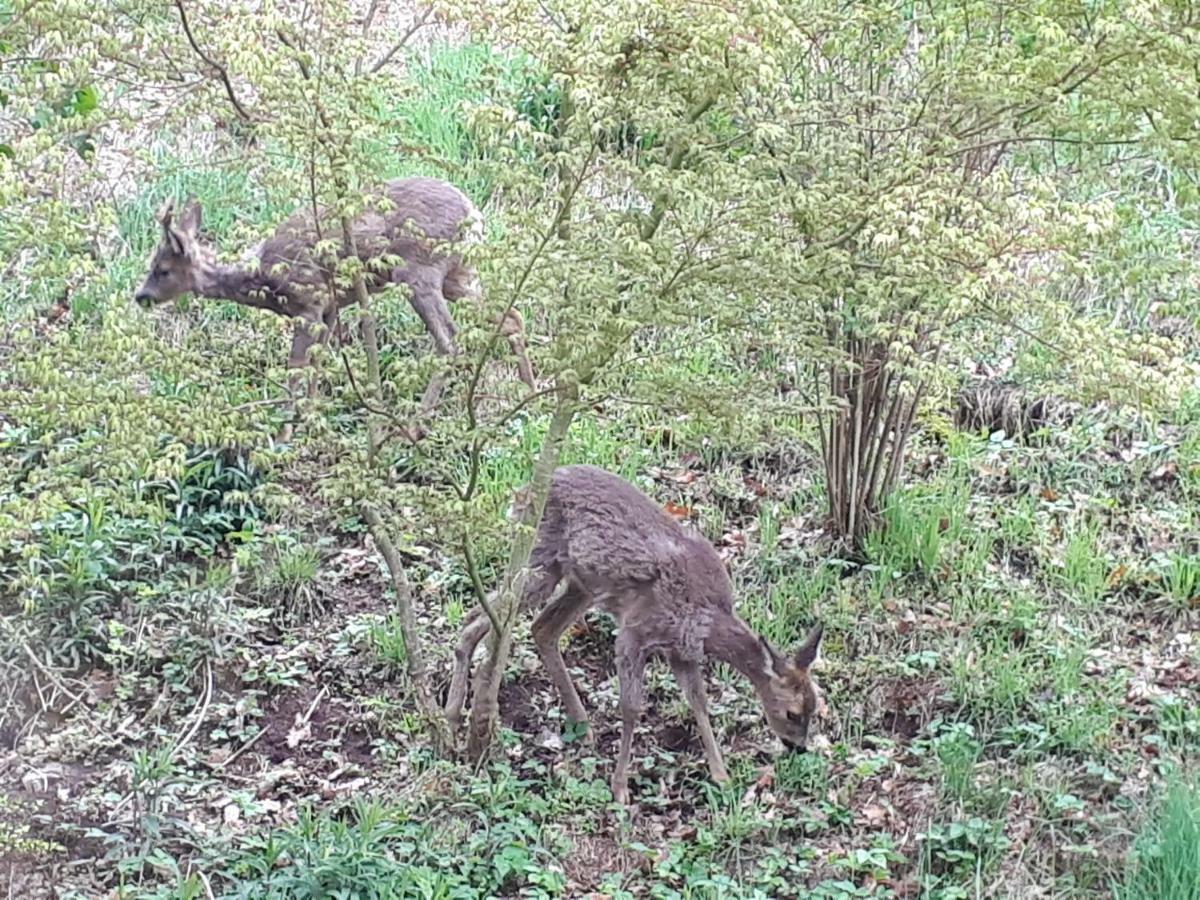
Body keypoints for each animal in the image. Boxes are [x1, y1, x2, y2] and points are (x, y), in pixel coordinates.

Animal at [132, 180, 540, 427]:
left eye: (162, 269)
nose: (141, 296)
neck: (264, 281)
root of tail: (475, 215)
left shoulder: (308, 300)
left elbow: (297, 367)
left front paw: (286, 427)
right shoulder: (330, 308)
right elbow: (318, 363)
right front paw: (311, 416)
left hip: (418, 270)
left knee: (451, 341)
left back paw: (416, 422)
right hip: (460, 273)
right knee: (511, 315)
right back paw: (530, 392)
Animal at [451, 465, 825, 801]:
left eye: (814, 707)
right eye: (792, 712)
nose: (799, 748)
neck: (706, 617)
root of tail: (522, 492)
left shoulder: (681, 651)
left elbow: (699, 702)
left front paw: (721, 776)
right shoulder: (634, 630)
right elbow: (631, 707)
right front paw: (619, 788)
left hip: (582, 582)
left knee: (540, 627)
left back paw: (581, 725)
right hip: (539, 560)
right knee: (479, 616)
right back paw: (454, 712)